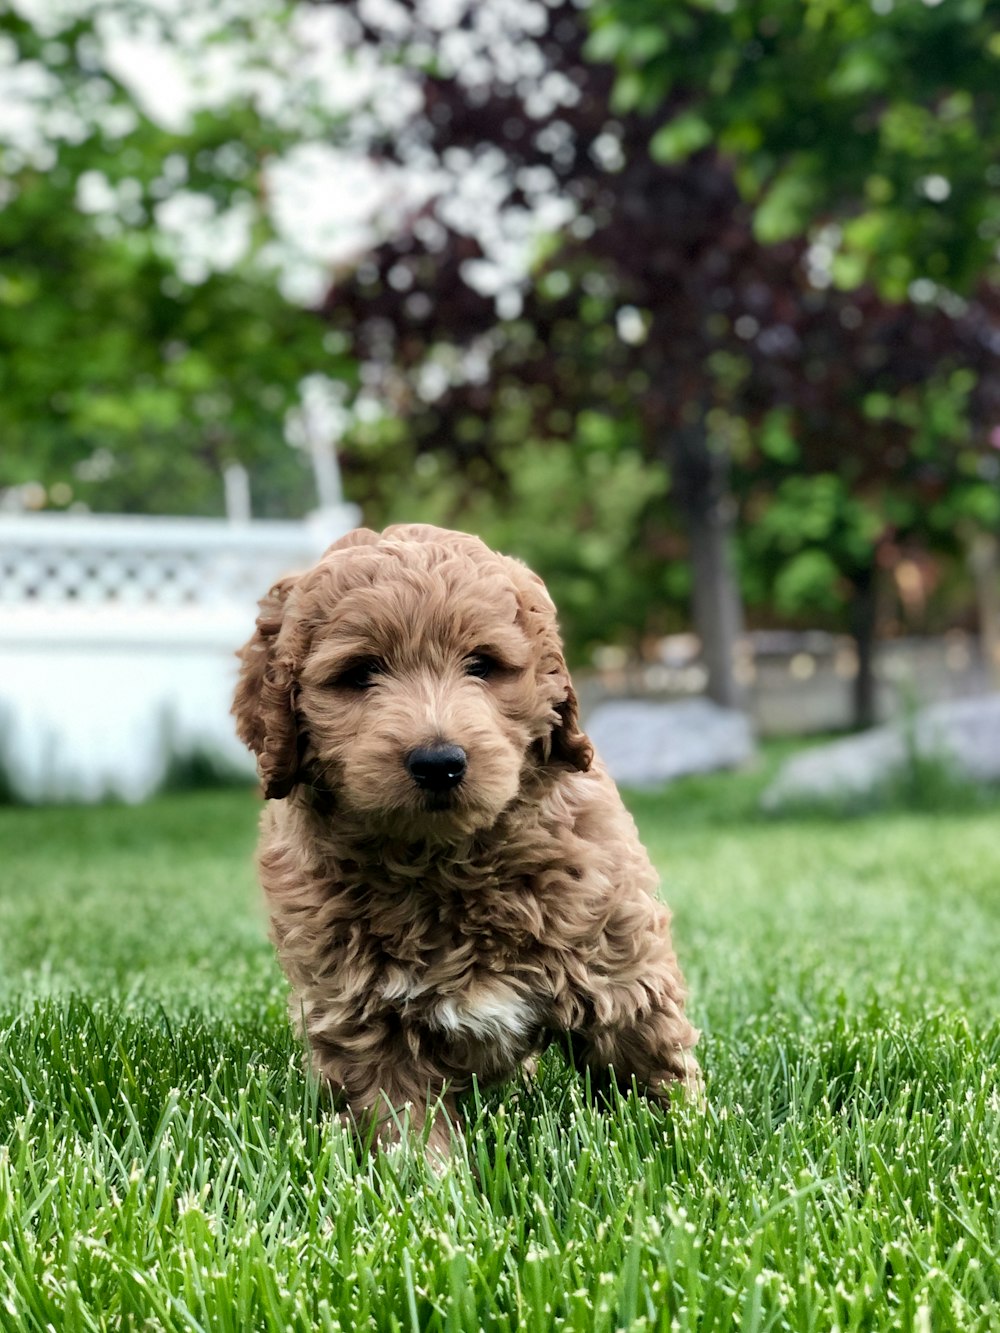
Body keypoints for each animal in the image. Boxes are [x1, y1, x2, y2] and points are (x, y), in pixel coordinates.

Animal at [237, 522, 698, 1157]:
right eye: (359, 674)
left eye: (482, 665)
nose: (438, 763)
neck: (446, 858)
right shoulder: (365, 1015)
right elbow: (403, 1119)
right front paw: (428, 1181)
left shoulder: (618, 961)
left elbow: (648, 1063)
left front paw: (690, 1140)